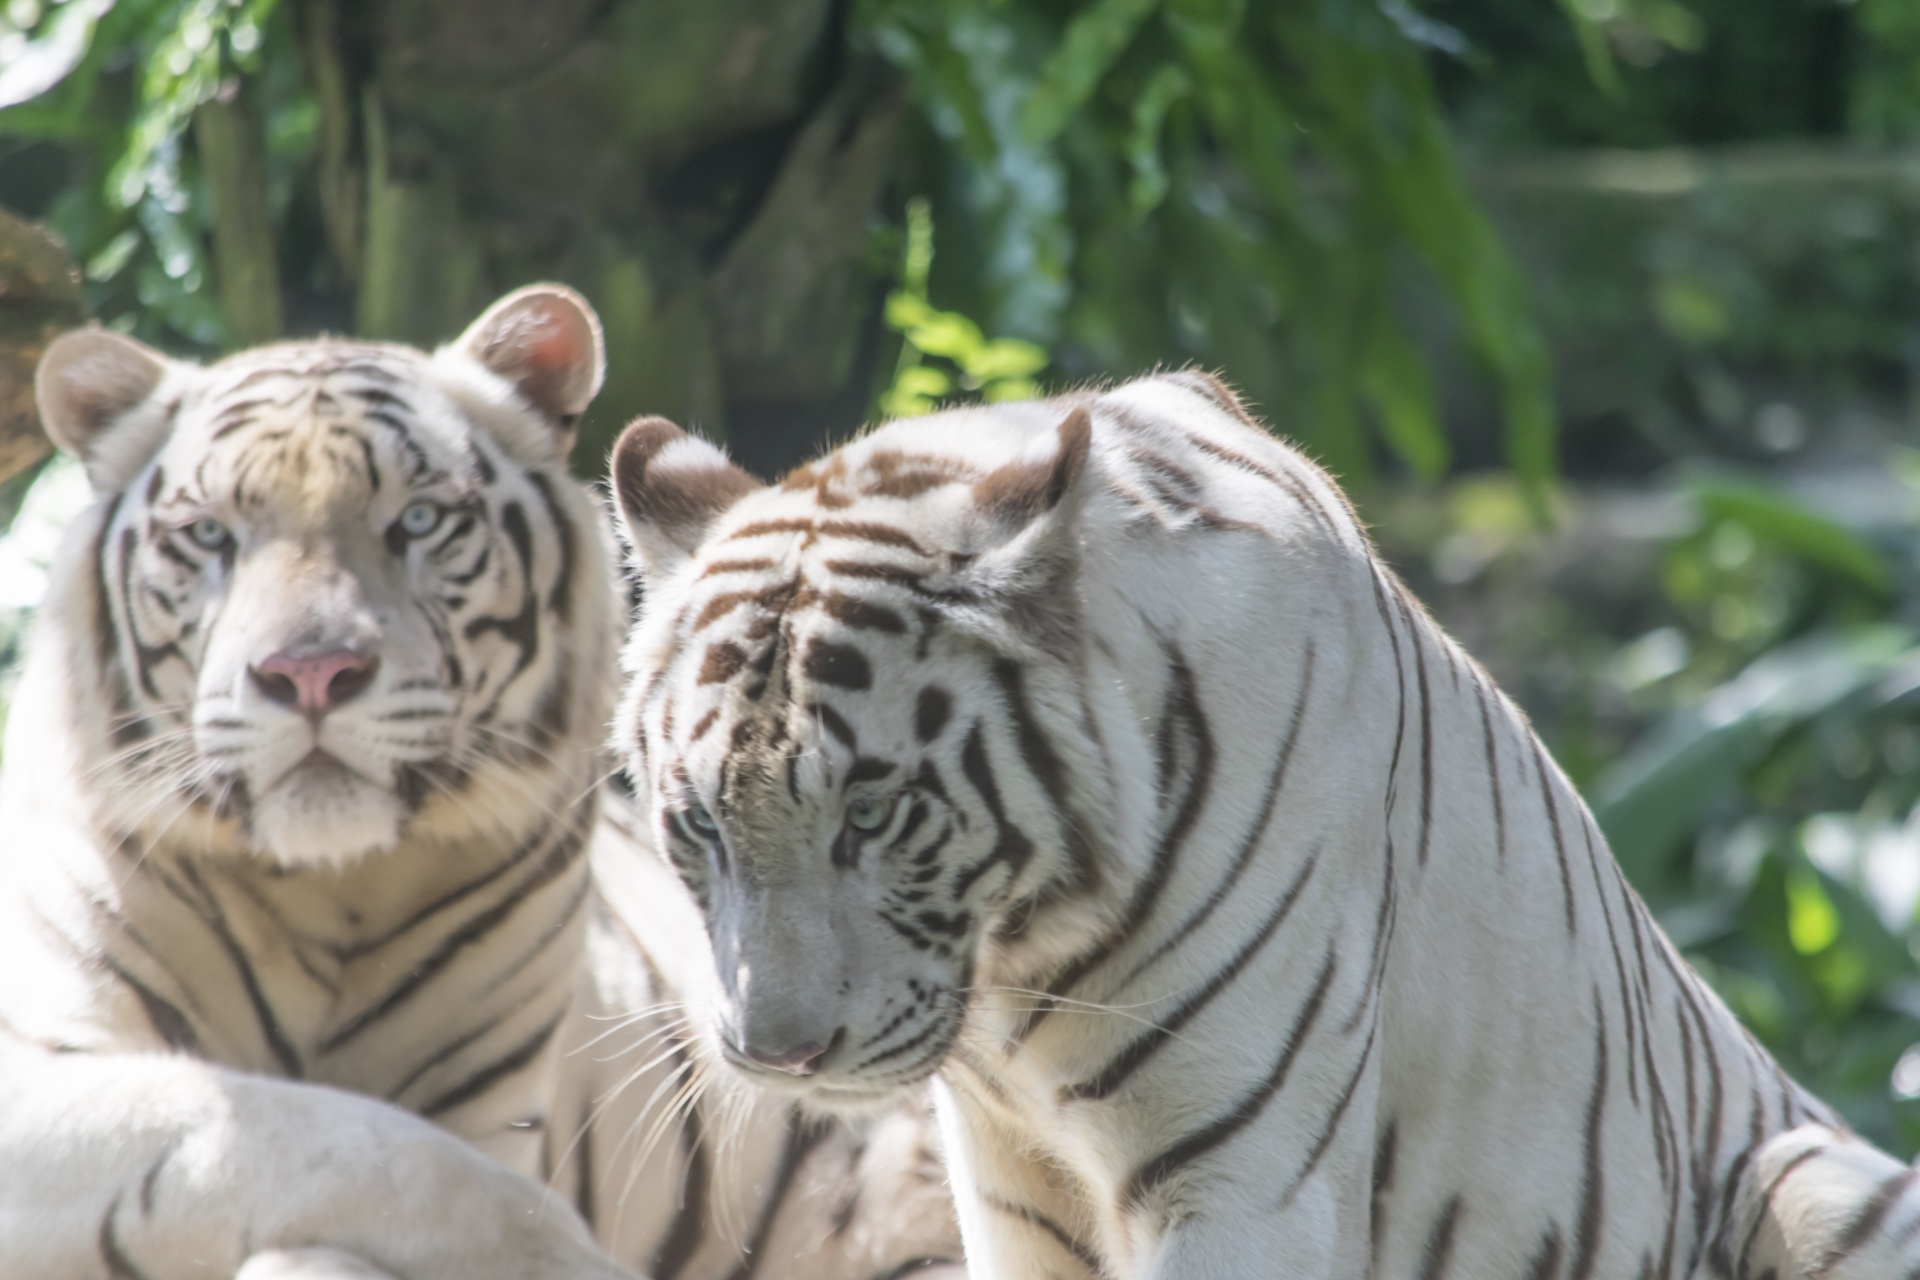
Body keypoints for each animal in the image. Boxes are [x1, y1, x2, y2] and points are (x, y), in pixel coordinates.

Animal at [0, 287, 960, 1280]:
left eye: (419, 523)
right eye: (209, 536)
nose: (311, 672)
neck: (326, 892)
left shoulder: (490, 1107)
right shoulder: (43, 1079)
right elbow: (332, 1141)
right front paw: (548, 1249)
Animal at [606, 376, 1920, 1280]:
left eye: (872, 811)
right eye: (699, 823)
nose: (775, 1053)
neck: (1018, 976)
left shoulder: (1246, 1178)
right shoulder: (1012, 1193)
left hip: (1823, 1179)